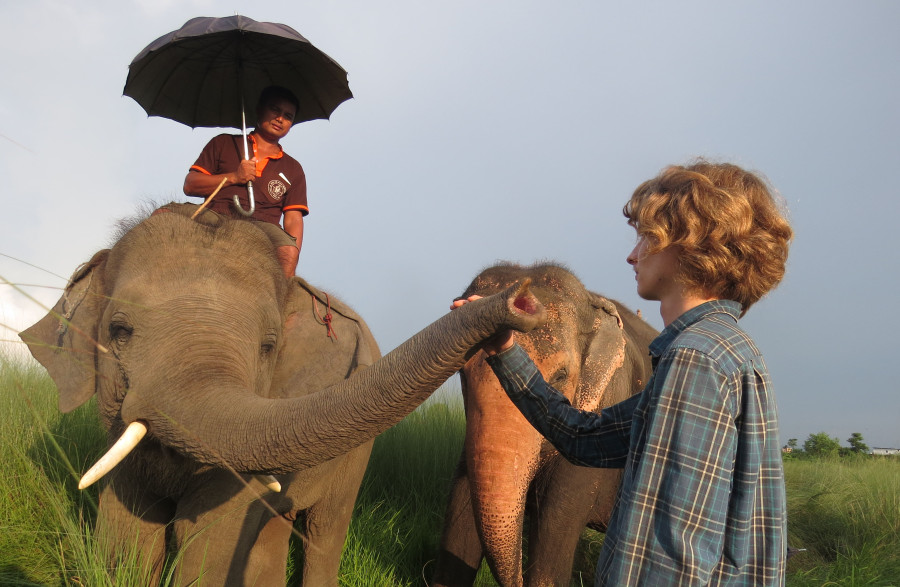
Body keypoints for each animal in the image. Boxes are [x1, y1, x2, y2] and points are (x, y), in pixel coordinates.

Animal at [19, 207, 546, 586]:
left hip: (356, 459)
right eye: (119, 331)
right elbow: (126, 530)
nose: (520, 301)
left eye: (267, 347)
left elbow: (205, 535)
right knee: (274, 528)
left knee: (323, 531)